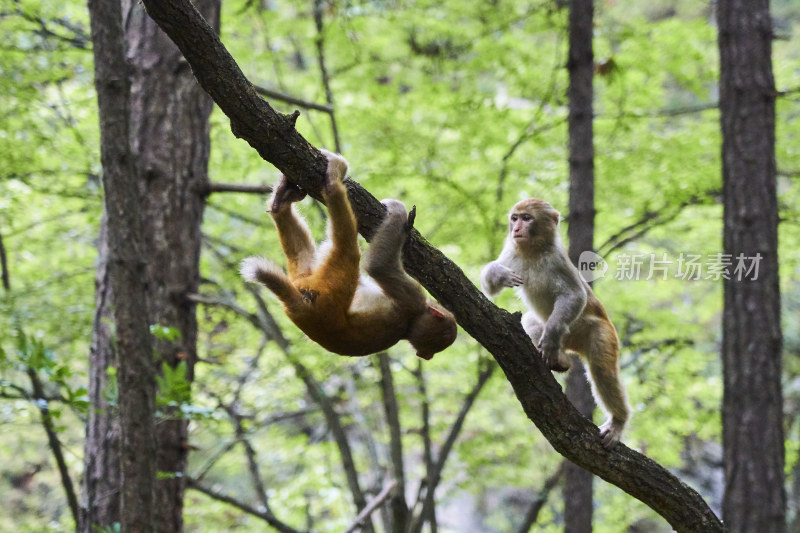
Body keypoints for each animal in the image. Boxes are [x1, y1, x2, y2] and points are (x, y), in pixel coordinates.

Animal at [241, 148, 456, 360]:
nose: (425, 355)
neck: (409, 327)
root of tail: (303, 308)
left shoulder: (413, 298)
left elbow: (379, 267)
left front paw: (398, 211)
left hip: (326, 290)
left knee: (348, 248)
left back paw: (332, 183)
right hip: (309, 284)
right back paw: (281, 203)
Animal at [482, 197, 632, 446]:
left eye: (527, 218)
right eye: (515, 218)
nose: (516, 229)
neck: (533, 251)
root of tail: (572, 346)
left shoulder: (557, 259)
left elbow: (575, 295)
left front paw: (552, 334)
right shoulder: (512, 253)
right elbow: (489, 287)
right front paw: (499, 275)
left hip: (601, 330)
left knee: (602, 370)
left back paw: (618, 421)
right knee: (531, 322)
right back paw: (559, 360)